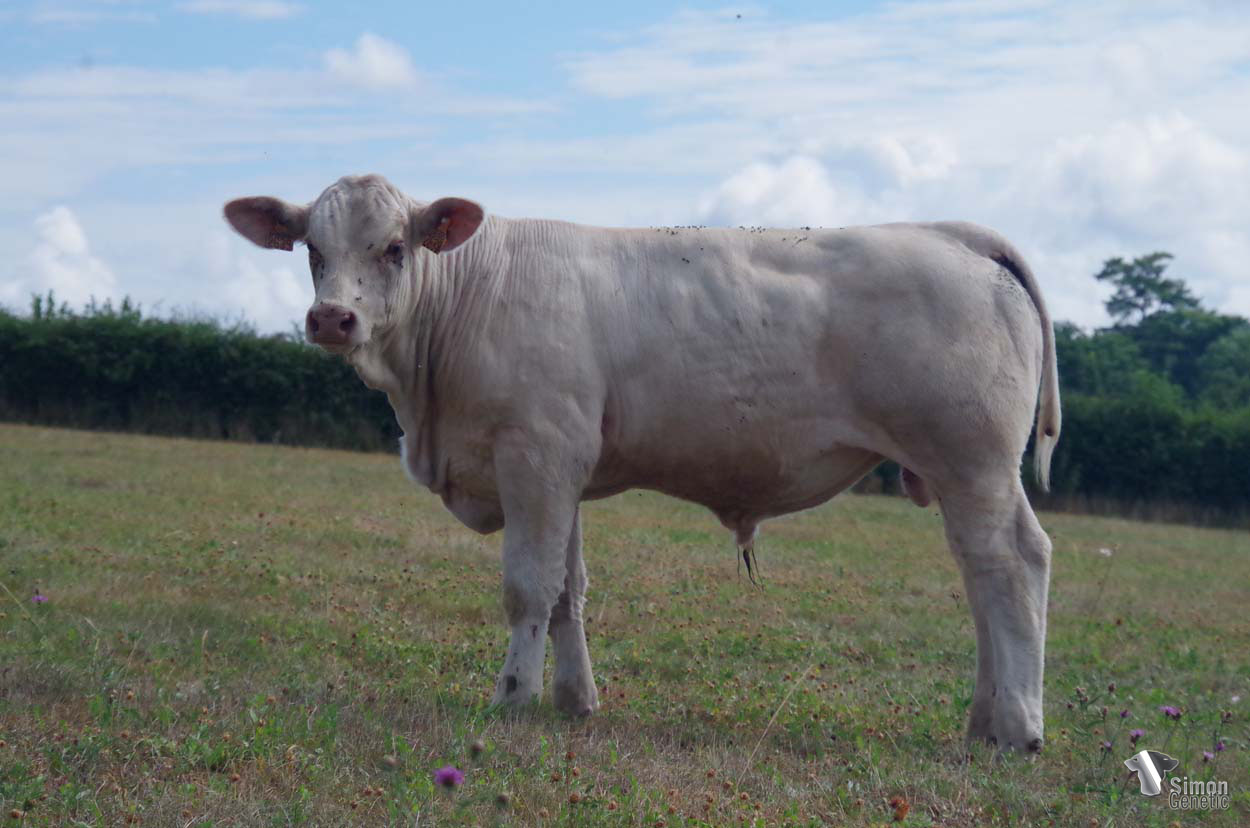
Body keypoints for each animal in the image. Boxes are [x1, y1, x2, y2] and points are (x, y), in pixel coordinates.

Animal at [224, 174, 1061, 754]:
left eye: (396, 247)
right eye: (312, 249)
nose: (333, 318)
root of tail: (954, 234)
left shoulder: (535, 456)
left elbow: (528, 588)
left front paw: (512, 696)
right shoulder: (564, 467)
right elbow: (569, 590)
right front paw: (573, 700)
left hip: (973, 462)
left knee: (1011, 565)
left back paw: (1018, 725)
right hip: (964, 472)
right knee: (985, 575)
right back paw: (985, 718)